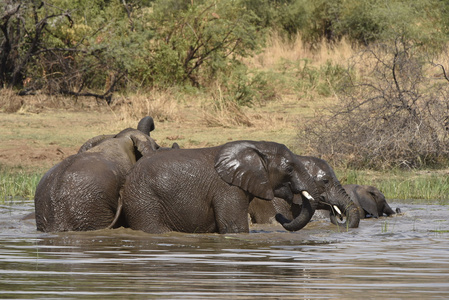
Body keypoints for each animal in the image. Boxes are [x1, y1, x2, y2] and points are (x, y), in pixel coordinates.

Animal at [121, 141, 320, 234]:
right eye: (289, 169)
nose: (278, 217)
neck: (254, 147)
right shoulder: (228, 189)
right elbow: (235, 229)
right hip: (144, 199)